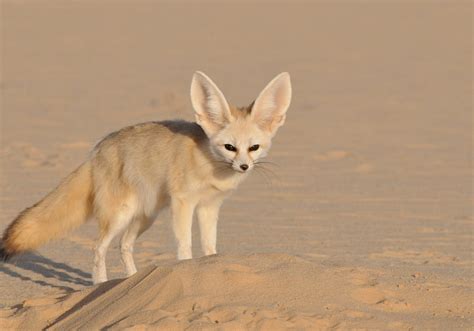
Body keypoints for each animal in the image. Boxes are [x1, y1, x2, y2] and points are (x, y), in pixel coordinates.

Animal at [0, 71, 290, 284]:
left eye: (254, 148)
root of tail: (96, 150)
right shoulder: (183, 203)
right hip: (121, 215)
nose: (244, 166)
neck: (208, 161)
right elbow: (185, 246)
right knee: (99, 248)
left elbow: (210, 247)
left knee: (124, 246)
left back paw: (130, 281)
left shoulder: (209, 206)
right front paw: (188, 270)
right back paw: (100, 284)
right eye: (229, 147)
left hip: (145, 216)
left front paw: (211, 268)